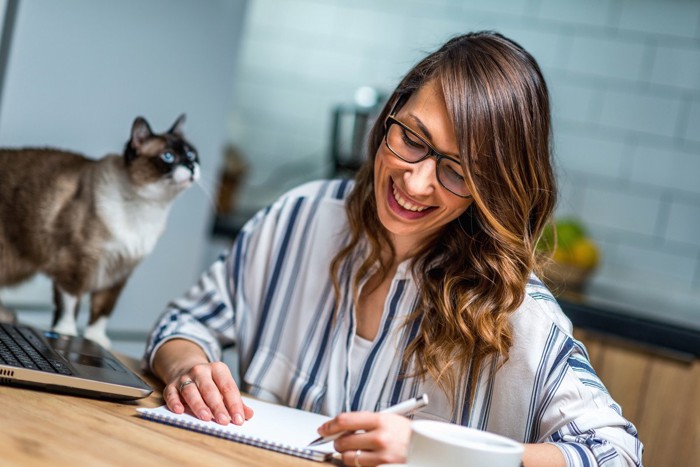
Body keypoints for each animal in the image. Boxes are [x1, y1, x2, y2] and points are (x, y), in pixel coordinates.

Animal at [0, 114, 200, 348]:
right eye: (168, 156)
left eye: (191, 154)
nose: (192, 166)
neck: (148, 209)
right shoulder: (74, 264)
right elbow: (70, 305)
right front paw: (65, 334)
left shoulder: (119, 273)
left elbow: (103, 311)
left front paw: (94, 340)